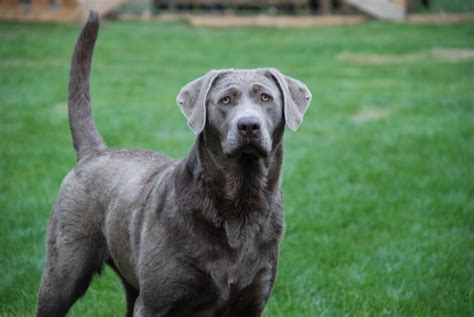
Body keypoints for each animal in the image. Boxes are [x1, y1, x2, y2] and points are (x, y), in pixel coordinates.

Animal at [36, 11, 312, 314]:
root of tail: (95, 151)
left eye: (266, 97)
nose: (249, 125)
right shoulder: (155, 304)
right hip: (64, 269)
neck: (239, 201)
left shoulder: (252, 302)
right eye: (225, 100)